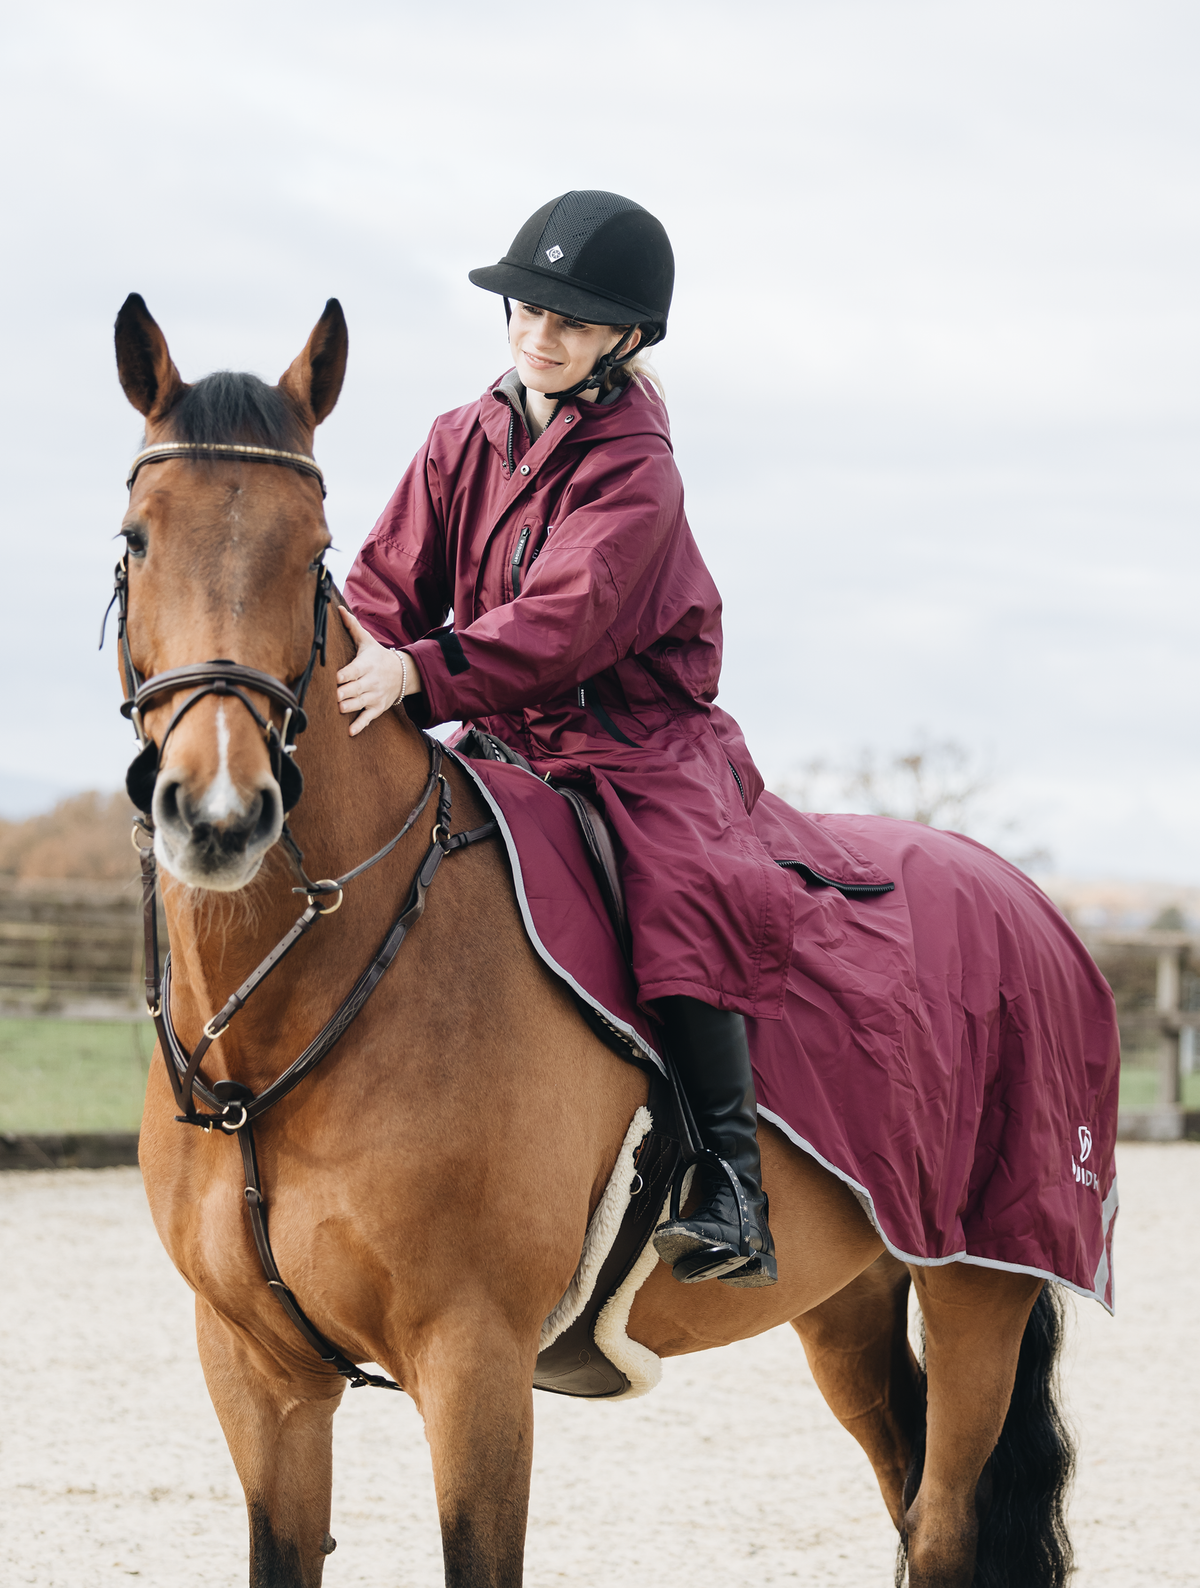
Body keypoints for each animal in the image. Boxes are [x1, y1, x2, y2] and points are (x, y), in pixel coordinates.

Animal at [111, 292, 1081, 1588]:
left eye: (312, 553)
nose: (218, 812)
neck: (282, 1027)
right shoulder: (258, 1377)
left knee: (941, 1527)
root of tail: (1027, 902)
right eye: (138, 538)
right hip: (853, 1302)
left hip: (979, 1288)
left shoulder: (475, 1367)